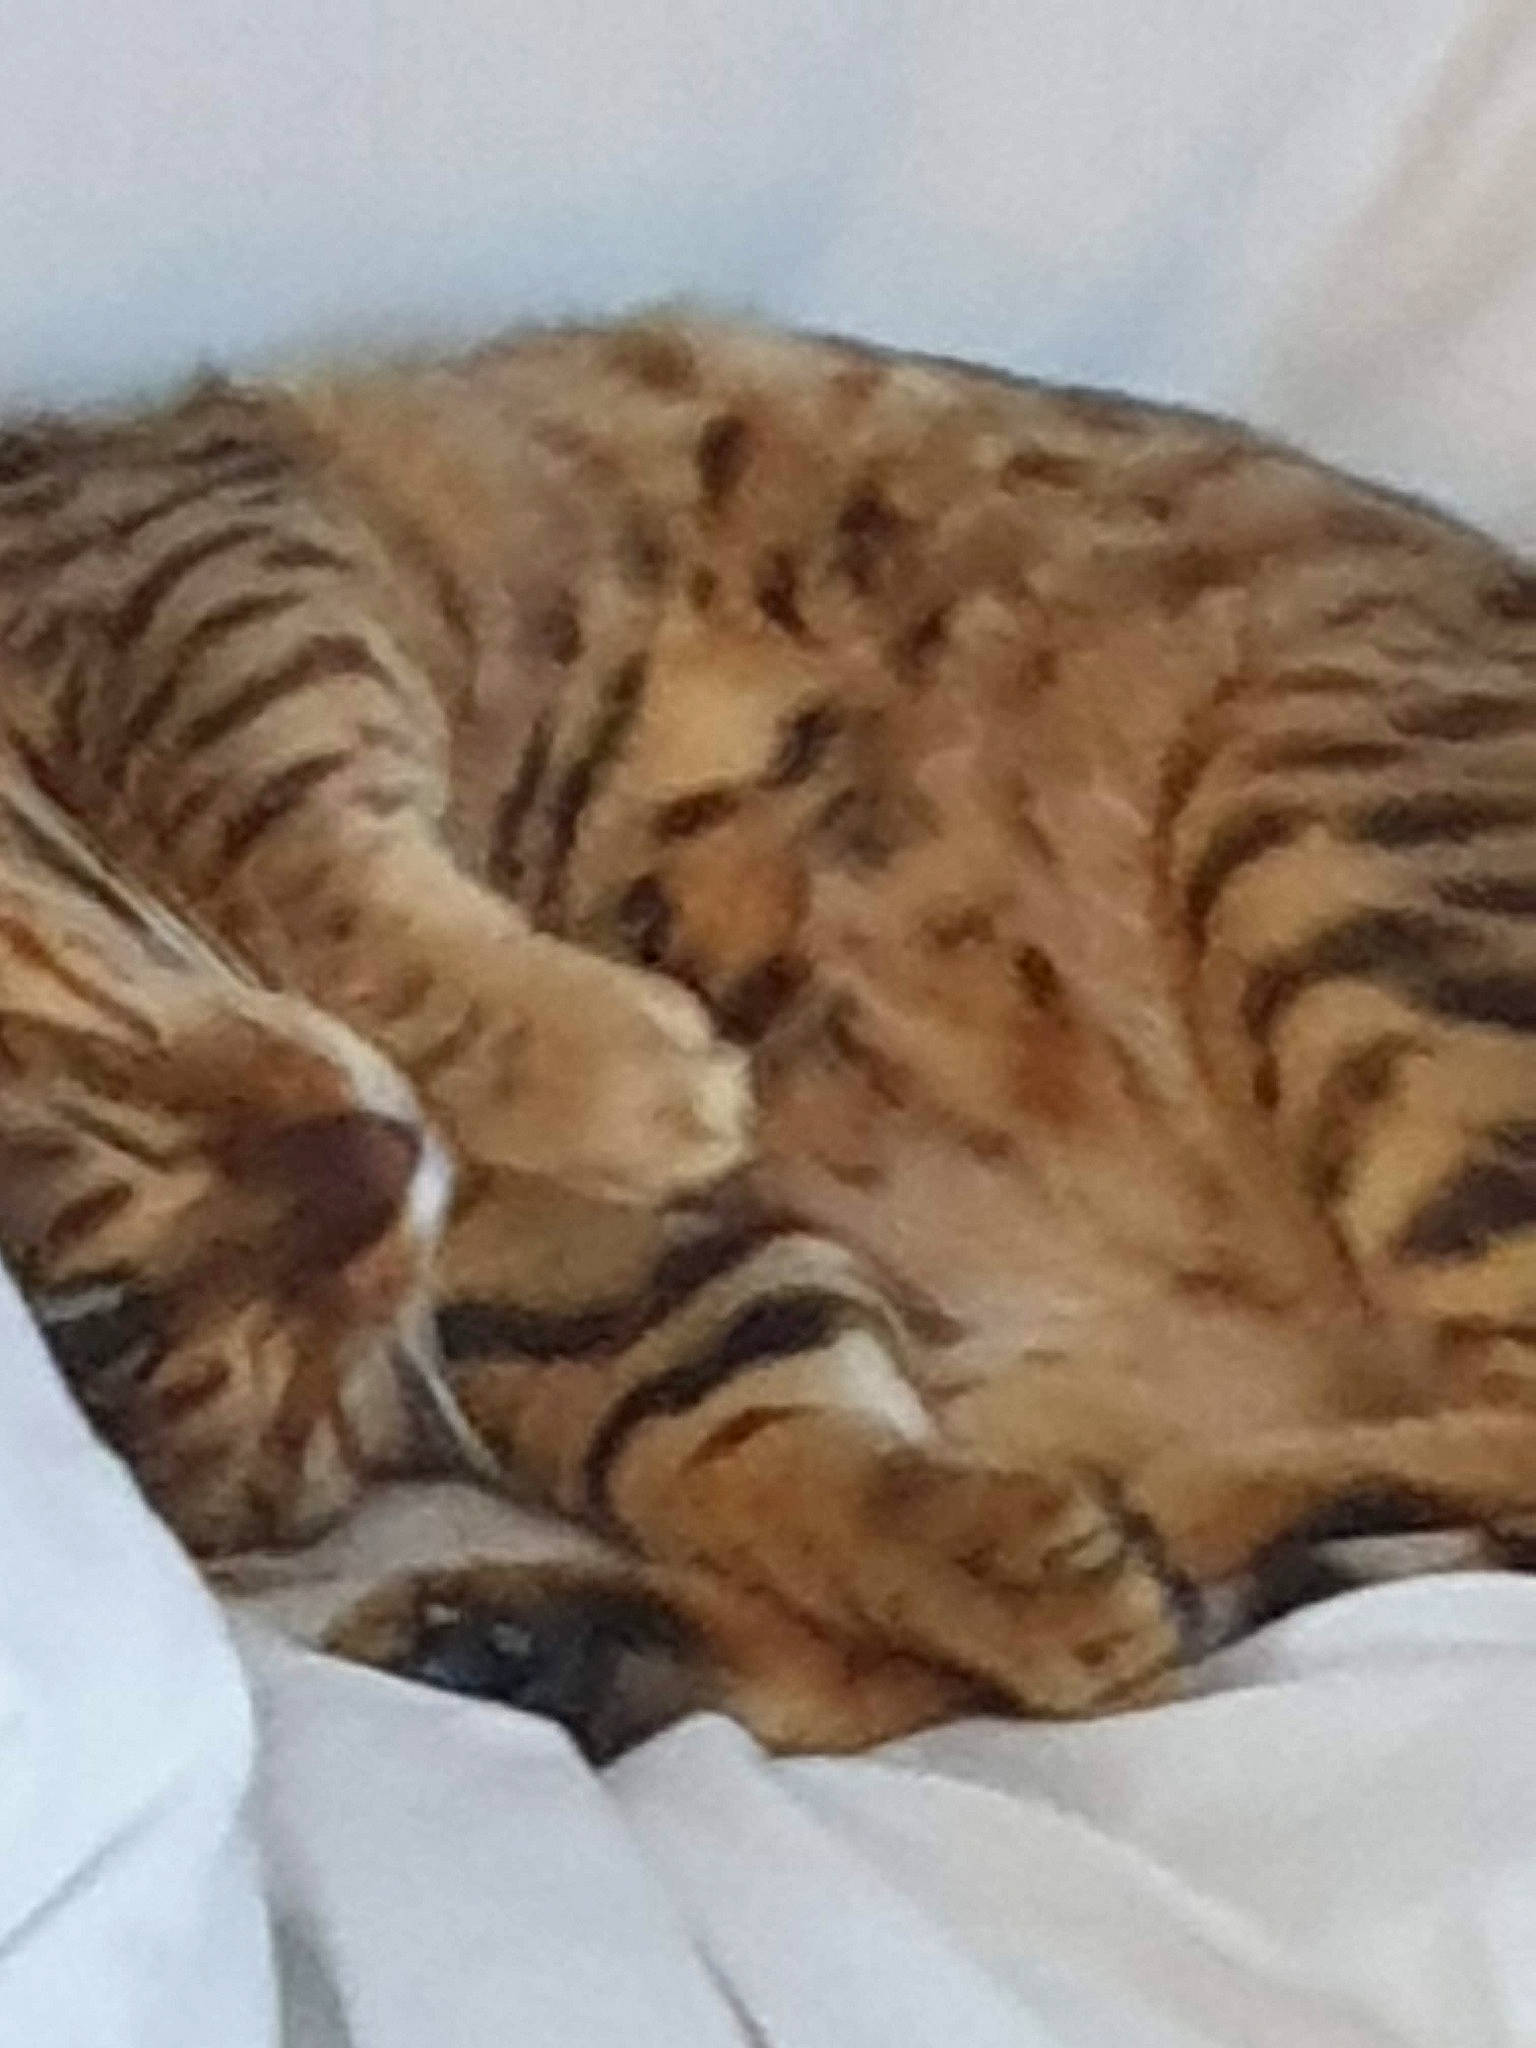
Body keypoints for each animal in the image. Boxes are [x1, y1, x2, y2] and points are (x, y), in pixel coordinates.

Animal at [5, 311, 1536, 1761]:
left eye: (126, 1089)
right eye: (282, 1385)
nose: (387, 1151)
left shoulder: (196, 568)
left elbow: (295, 835)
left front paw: (620, 1069)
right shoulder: (557, 1284)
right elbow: (755, 1433)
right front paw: (1002, 1570)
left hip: (1329, 842)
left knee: (1506, 1446)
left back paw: (1172, 1509)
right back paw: (541, 1644)